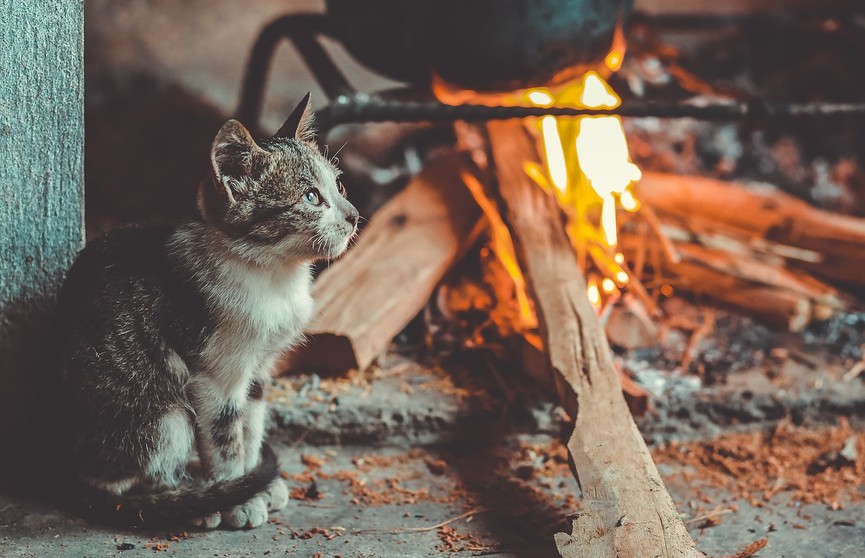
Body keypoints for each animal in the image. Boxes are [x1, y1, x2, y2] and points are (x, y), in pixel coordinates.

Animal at [54, 95, 358, 528]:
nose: (353, 215)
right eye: (311, 198)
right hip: (163, 416)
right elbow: (225, 435)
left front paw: (255, 482)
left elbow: (252, 424)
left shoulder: (259, 368)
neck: (275, 277)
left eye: (340, 185)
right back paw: (189, 501)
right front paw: (235, 495)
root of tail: (68, 466)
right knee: (127, 478)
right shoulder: (214, 376)